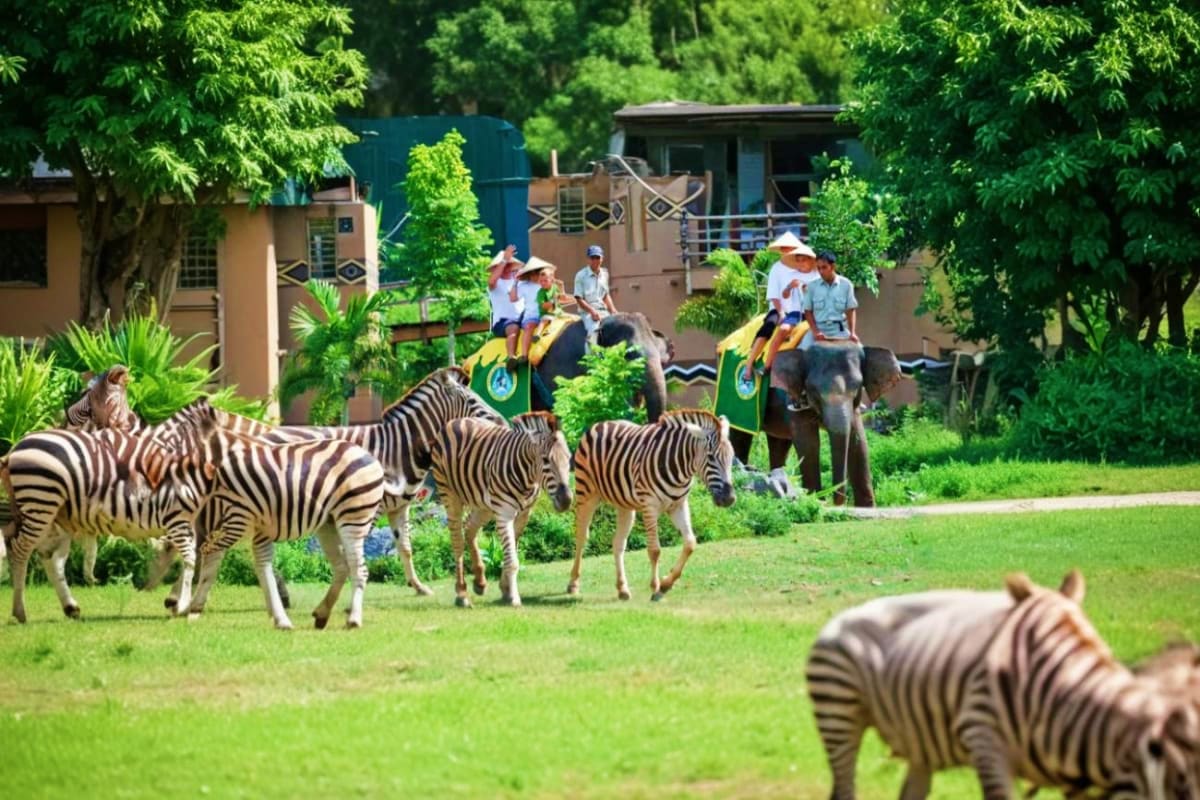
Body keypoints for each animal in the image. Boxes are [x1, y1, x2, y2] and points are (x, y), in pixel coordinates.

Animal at [1, 408, 220, 623]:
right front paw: (182, 603)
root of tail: (14, 449)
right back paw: (20, 611)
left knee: (49, 557)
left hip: (51, 512)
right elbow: (196, 556)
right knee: (20, 551)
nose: (143, 586)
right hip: (40, 499)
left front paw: (180, 602)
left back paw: (69, 607)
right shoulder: (182, 517)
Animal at [429, 411, 572, 608]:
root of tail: (457, 420)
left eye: (569, 457)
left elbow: (511, 553)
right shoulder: (504, 513)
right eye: (545, 460)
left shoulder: (524, 514)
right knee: (457, 540)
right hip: (450, 495)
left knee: (469, 527)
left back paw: (480, 582)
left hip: (484, 505)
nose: (566, 500)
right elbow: (512, 560)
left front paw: (505, 588)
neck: (528, 477)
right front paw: (514, 598)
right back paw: (462, 593)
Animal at [567, 409, 735, 601]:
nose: (730, 498)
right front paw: (656, 587)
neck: (680, 468)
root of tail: (601, 423)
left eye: (732, 457)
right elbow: (655, 550)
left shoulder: (678, 505)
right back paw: (573, 584)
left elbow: (690, 543)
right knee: (581, 537)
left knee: (618, 542)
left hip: (625, 505)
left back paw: (623, 589)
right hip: (586, 493)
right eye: (711, 457)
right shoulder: (650, 506)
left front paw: (666, 583)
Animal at [729, 341, 901, 507]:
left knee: (779, 444)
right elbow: (809, 444)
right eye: (813, 390)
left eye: (858, 387)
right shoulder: (793, 396)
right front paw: (815, 500)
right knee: (740, 437)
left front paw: (866, 508)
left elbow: (859, 443)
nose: (838, 503)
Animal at [806, 570, 1200, 799]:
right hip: (839, 715)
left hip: (916, 737)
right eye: (1180, 784)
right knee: (844, 789)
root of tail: (839, 618)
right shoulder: (985, 741)